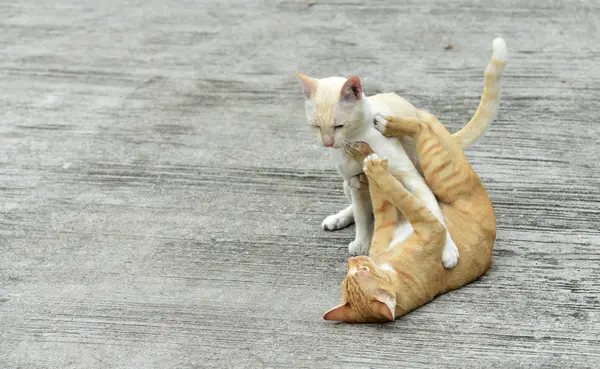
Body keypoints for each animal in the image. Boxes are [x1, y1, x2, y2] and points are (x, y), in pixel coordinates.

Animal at [296, 37, 506, 268]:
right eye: (316, 126)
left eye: (339, 126)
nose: (327, 143)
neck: (356, 140)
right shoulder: (353, 182)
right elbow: (361, 216)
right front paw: (361, 242)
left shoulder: (411, 178)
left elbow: (436, 216)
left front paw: (448, 250)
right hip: (346, 185)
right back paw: (339, 218)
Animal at [324, 110, 496, 322]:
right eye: (348, 277)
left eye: (362, 270)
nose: (352, 261)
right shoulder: (389, 220)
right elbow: (385, 193)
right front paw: (366, 159)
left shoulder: (424, 222)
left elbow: (391, 189)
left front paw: (366, 157)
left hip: (439, 171)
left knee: (422, 126)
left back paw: (385, 127)